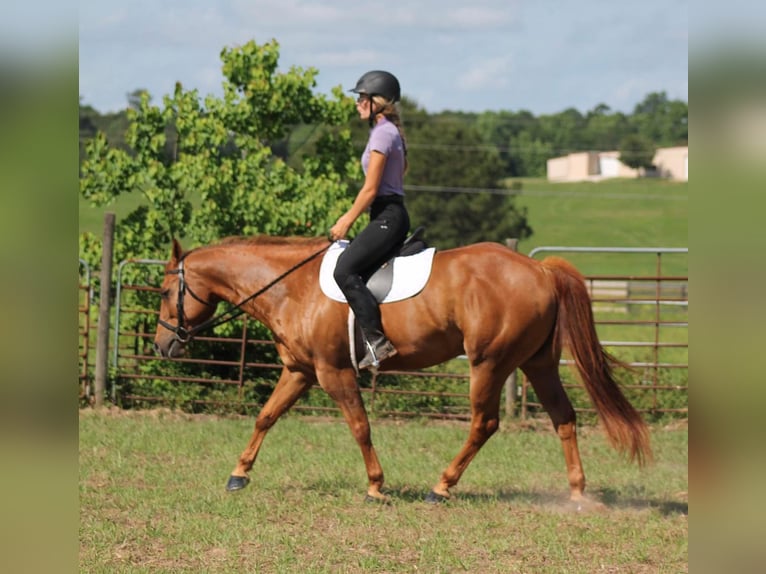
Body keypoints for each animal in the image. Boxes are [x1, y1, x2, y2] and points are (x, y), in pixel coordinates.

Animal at [153, 236, 652, 506]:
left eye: (162, 291)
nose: (161, 345)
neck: (291, 286)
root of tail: (540, 268)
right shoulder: (300, 371)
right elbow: (266, 416)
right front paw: (239, 474)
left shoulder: (334, 373)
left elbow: (359, 426)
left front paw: (376, 486)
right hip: (538, 363)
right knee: (563, 418)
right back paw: (577, 493)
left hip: (488, 363)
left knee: (484, 423)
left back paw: (442, 486)